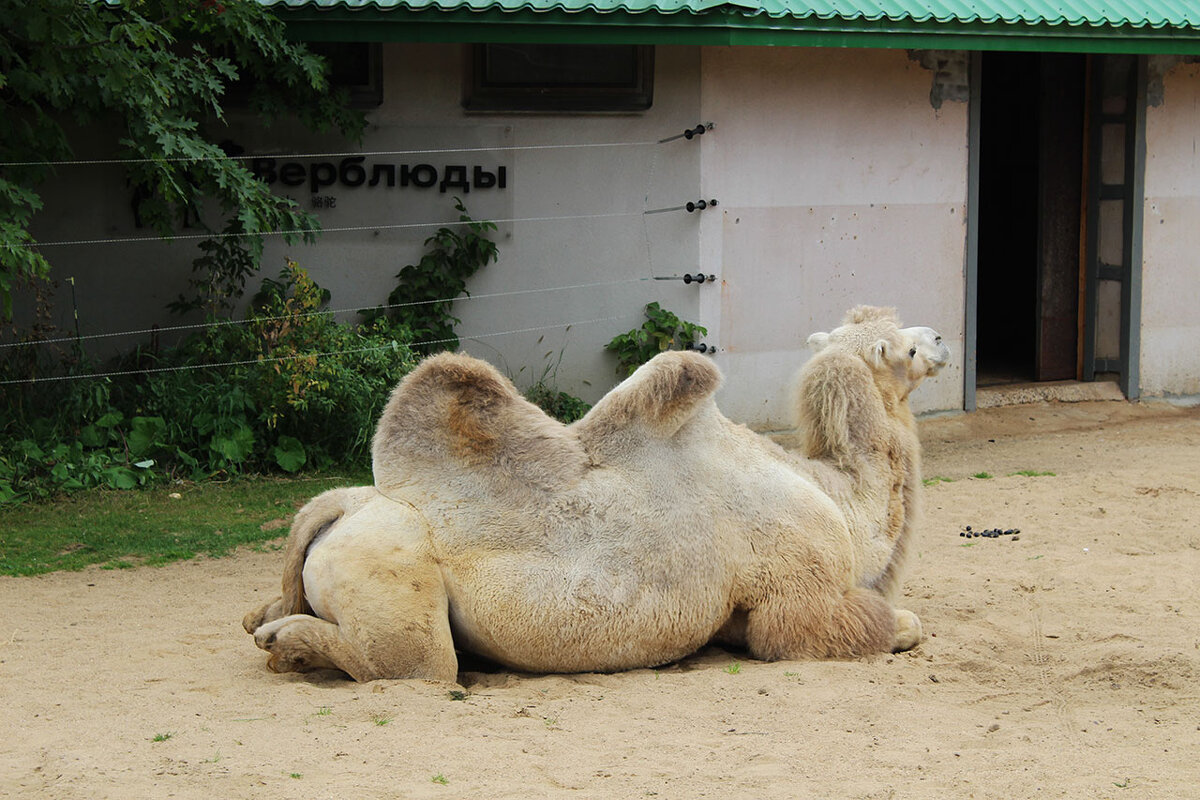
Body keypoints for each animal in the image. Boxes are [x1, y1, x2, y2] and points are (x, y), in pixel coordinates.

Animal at [246, 307, 945, 681]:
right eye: (905, 348)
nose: (941, 337)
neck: (841, 502)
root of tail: (342, 507)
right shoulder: (798, 594)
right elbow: (891, 625)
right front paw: (904, 626)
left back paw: (268, 625)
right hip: (393, 579)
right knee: (413, 666)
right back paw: (284, 643)